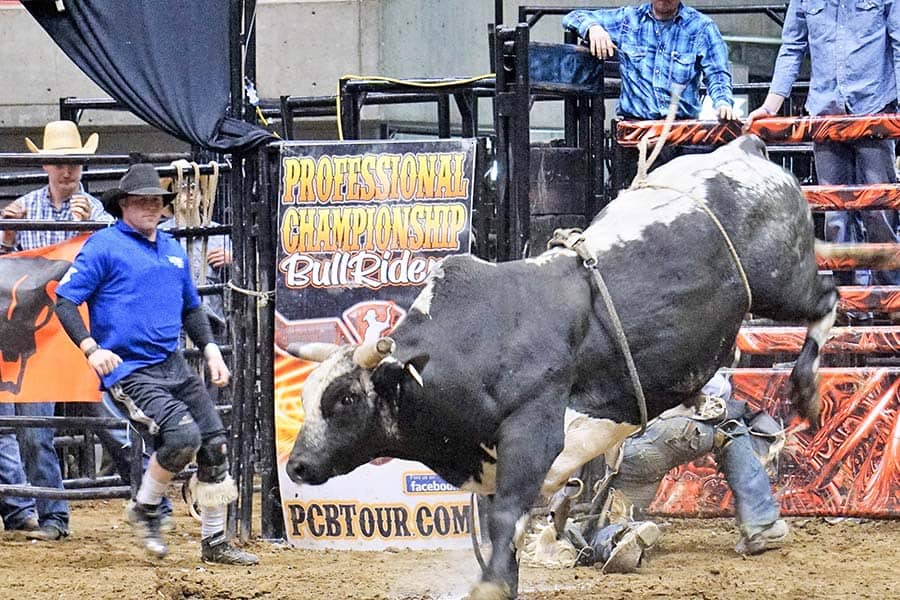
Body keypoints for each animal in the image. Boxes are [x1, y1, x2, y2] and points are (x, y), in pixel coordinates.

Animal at [288, 137, 856, 600]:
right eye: (308, 398)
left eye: (344, 399)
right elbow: (504, 533)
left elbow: (506, 518)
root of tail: (745, 149)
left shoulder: (533, 433)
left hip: (780, 283)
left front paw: (490, 586)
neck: (473, 344)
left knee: (828, 299)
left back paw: (805, 391)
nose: (295, 466)